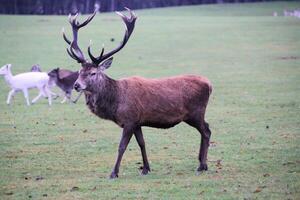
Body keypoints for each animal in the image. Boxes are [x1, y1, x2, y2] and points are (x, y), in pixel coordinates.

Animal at [63, 8, 212, 179]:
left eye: (93, 73)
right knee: (206, 129)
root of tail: (209, 84)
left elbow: (122, 146)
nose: (76, 85)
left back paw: (202, 165)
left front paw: (113, 173)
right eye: (79, 72)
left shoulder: (129, 119)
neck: (116, 101)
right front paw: (146, 168)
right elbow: (142, 143)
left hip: (196, 112)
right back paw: (202, 163)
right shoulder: (137, 121)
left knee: (206, 131)